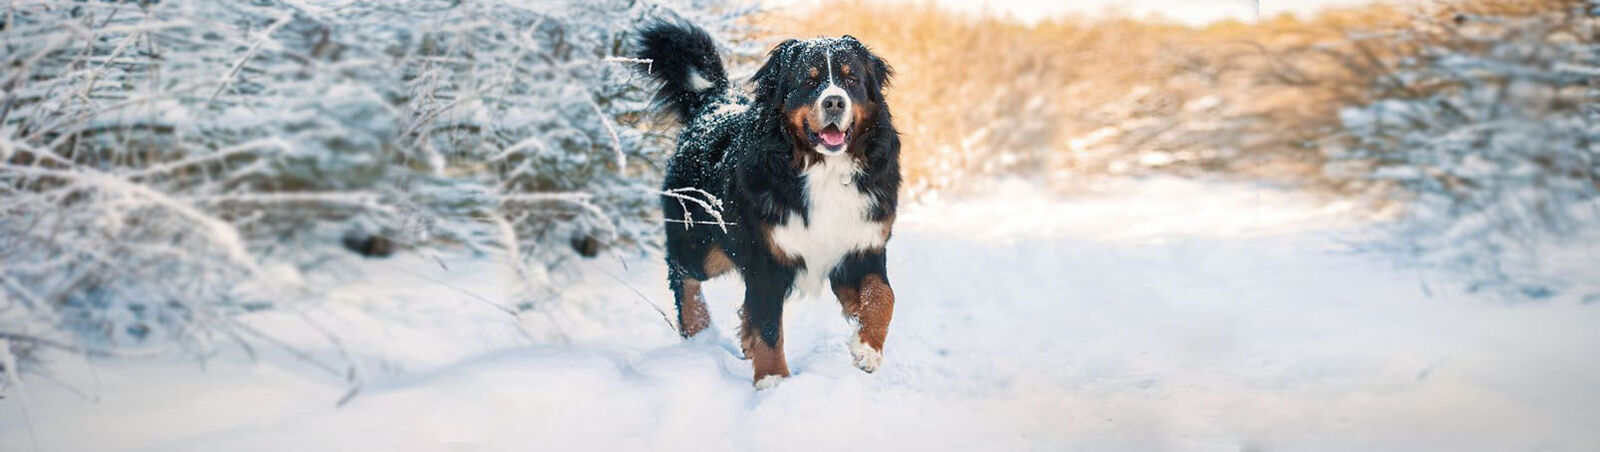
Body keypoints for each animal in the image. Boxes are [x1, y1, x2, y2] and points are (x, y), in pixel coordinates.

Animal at [633, 21, 902, 387]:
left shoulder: (862, 245)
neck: (824, 170)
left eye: (852, 80)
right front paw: (772, 379)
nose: (834, 102)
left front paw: (867, 349)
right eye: (809, 81)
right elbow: (769, 327)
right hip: (705, 246)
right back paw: (699, 331)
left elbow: (882, 297)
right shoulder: (767, 258)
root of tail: (714, 103)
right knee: (682, 273)